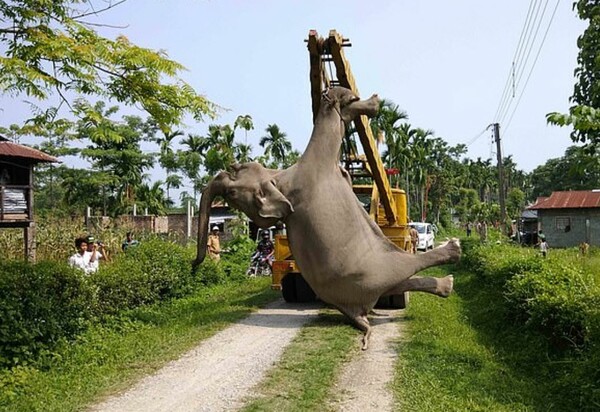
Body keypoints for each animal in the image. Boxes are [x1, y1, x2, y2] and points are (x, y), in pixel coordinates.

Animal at [195, 86, 462, 348]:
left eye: (236, 170)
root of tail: (355, 314)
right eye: (231, 192)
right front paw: (350, 100)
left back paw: (445, 283)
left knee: (399, 282)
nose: (193, 265)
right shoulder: (315, 168)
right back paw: (453, 256)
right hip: (373, 273)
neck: (278, 178)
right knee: (408, 266)